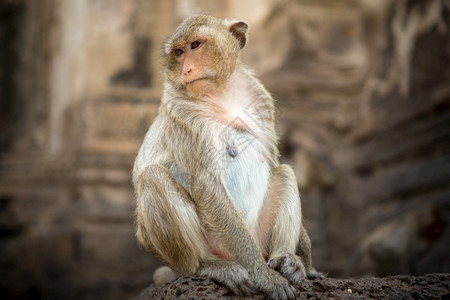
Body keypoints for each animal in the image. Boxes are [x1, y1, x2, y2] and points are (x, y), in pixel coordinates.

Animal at [133, 14, 324, 300]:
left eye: (195, 45)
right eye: (178, 53)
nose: (186, 70)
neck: (222, 94)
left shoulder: (260, 99)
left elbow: (273, 163)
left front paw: (307, 262)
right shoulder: (182, 112)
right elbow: (206, 184)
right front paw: (264, 277)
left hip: (259, 235)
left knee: (285, 172)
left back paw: (284, 259)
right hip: (212, 242)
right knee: (153, 177)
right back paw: (208, 266)